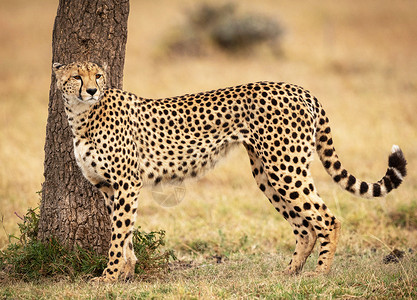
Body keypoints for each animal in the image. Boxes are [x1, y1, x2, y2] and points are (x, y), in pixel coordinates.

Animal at [52, 62, 406, 282]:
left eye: (97, 76)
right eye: (77, 77)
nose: (91, 90)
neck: (81, 116)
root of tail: (298, 88)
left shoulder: (126, 183)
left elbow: (118, 233)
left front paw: (108, 277)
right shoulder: (109, 187)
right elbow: (124, 233)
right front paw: (126, 273)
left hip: (284, 166)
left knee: (326, 219)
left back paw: (319, 274)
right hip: (266, 171)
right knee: (305, 226)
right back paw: (289, 273)